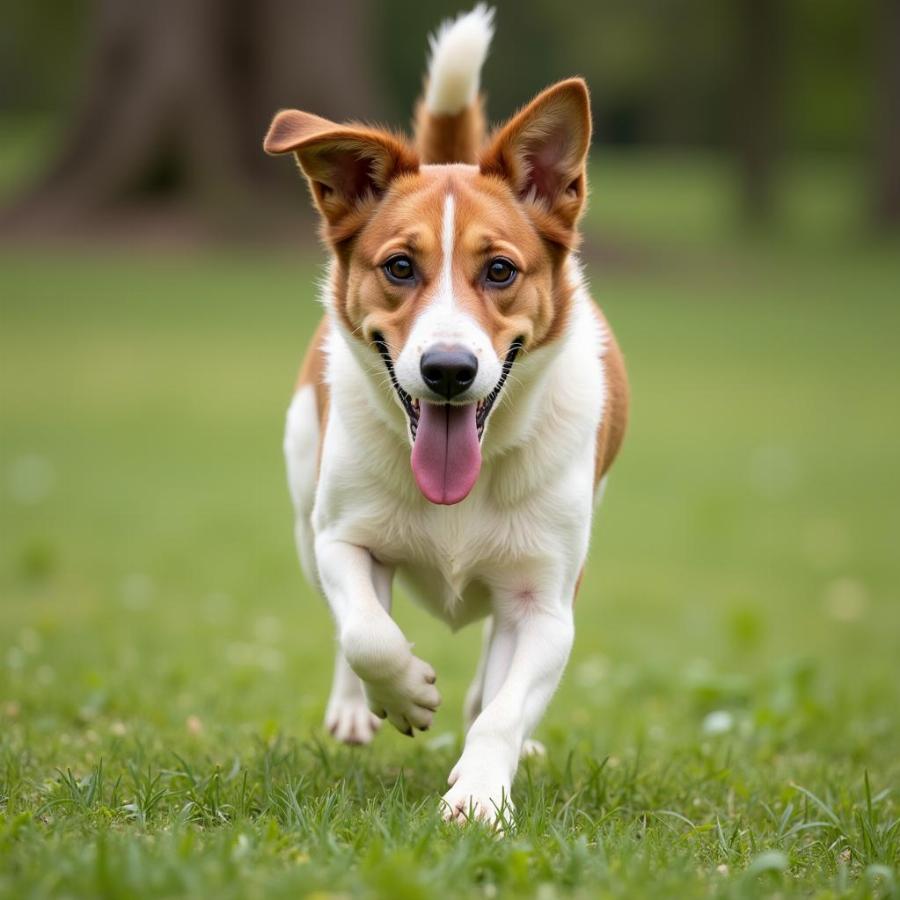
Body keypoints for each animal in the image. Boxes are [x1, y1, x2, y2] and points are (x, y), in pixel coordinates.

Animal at [266, 5, 624, 824]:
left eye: (500, 270)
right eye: (401, 267)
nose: (450, 371)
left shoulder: (548, 598)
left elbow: (505, 702)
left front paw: (483, 793)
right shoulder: (341, 539)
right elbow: (367, 633)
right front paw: (404, 694)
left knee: (495, 670)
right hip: (303, 508)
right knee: (352, 620)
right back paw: (359, 707)